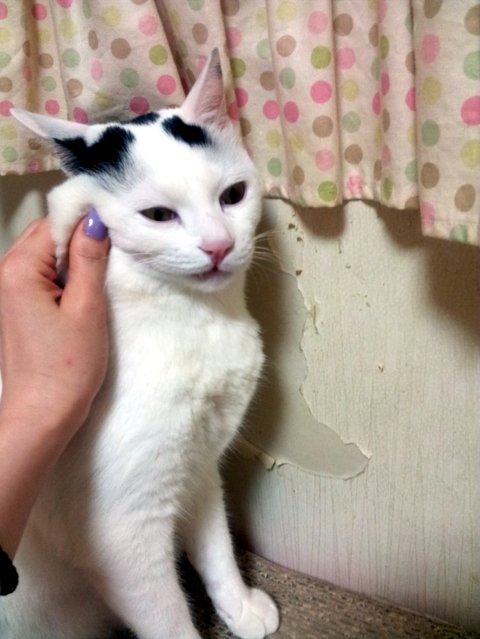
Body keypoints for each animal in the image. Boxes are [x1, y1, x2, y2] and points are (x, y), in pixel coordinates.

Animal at [1, 48, 279, 639]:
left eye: (234, 195)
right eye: (158, 215)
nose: (219, 246)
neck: (198, 321)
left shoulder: (197, 464)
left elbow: (216, 548)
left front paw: (239, 606)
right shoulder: (122, 533)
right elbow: (169, 621)